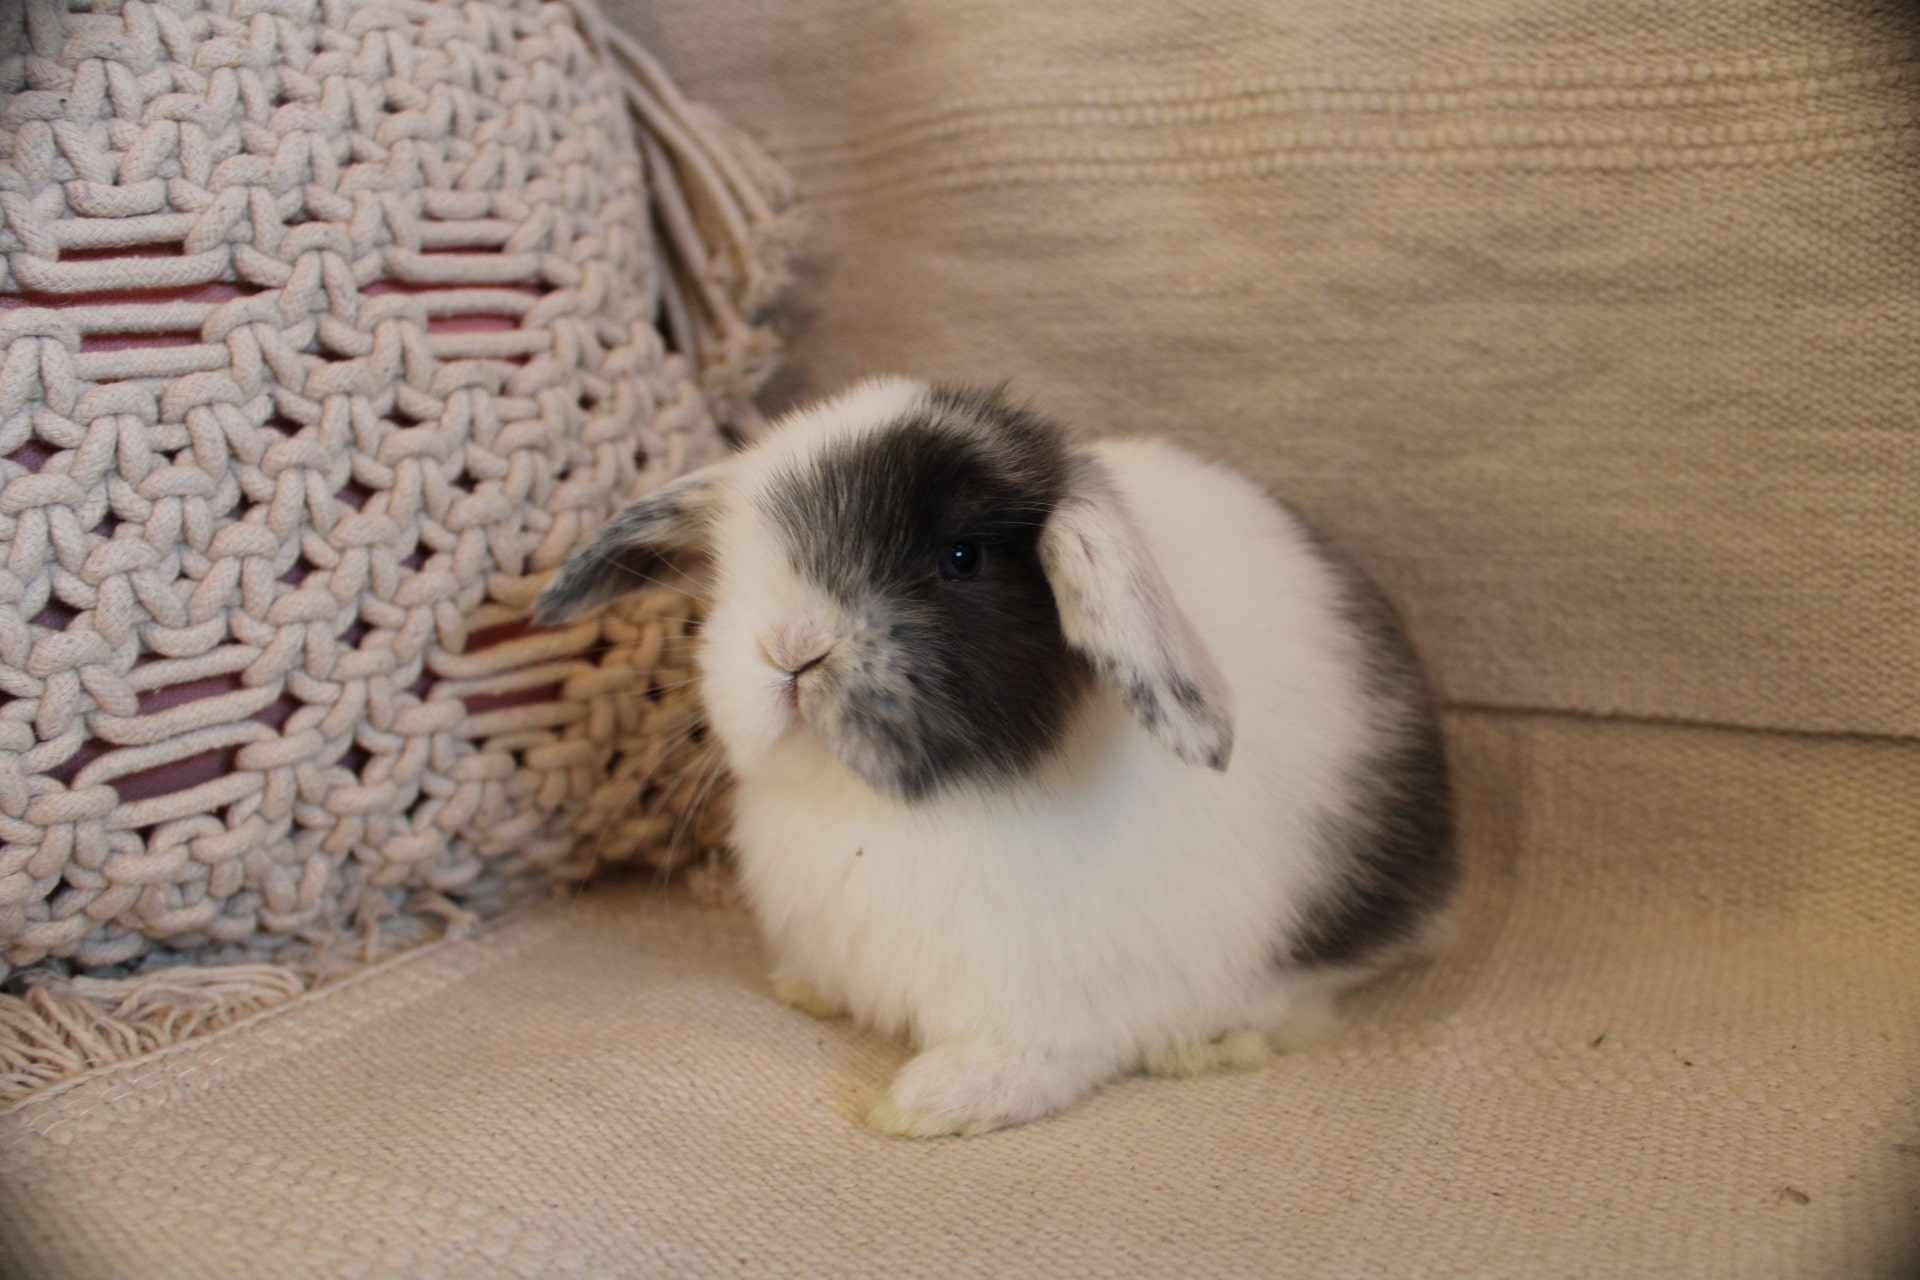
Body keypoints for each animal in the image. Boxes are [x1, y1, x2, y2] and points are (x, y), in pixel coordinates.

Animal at [534, 377, 1456, 1138]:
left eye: (961, 559)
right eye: (731, 564)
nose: (790, 649)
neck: (879, 812)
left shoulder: (1062, 1008)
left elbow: (1040, 1060)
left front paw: (929, 1103)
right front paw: (807, 988)